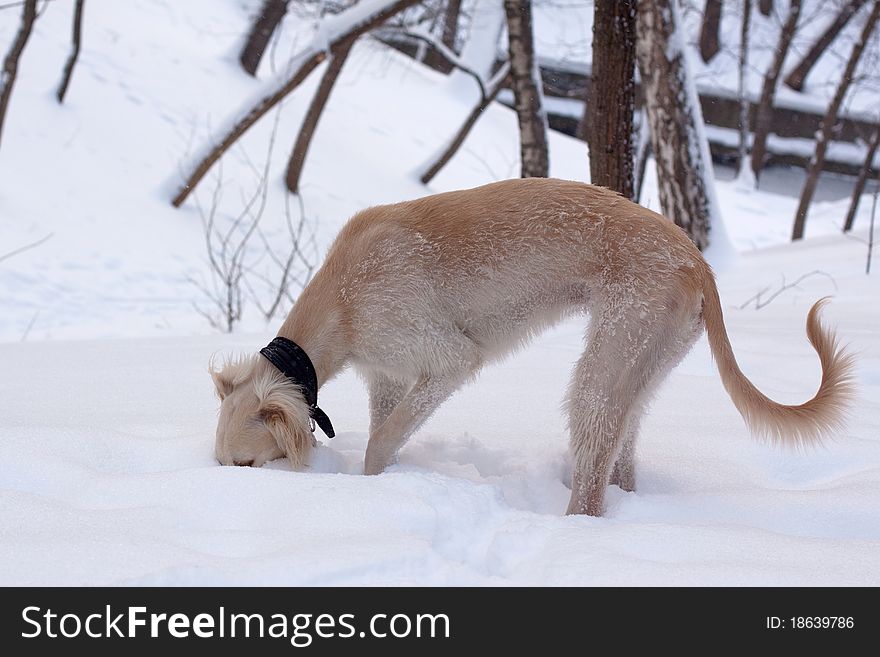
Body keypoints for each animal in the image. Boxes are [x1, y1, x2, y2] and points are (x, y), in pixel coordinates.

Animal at [211, 177, 852, 516]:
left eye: (245, 465)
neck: (345, 294)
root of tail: (695, 258)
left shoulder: (447, 359)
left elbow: (381, 442)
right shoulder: (388, 376)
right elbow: (383, 433)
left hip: (601, 371)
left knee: (590, 486)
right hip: (638, 364)